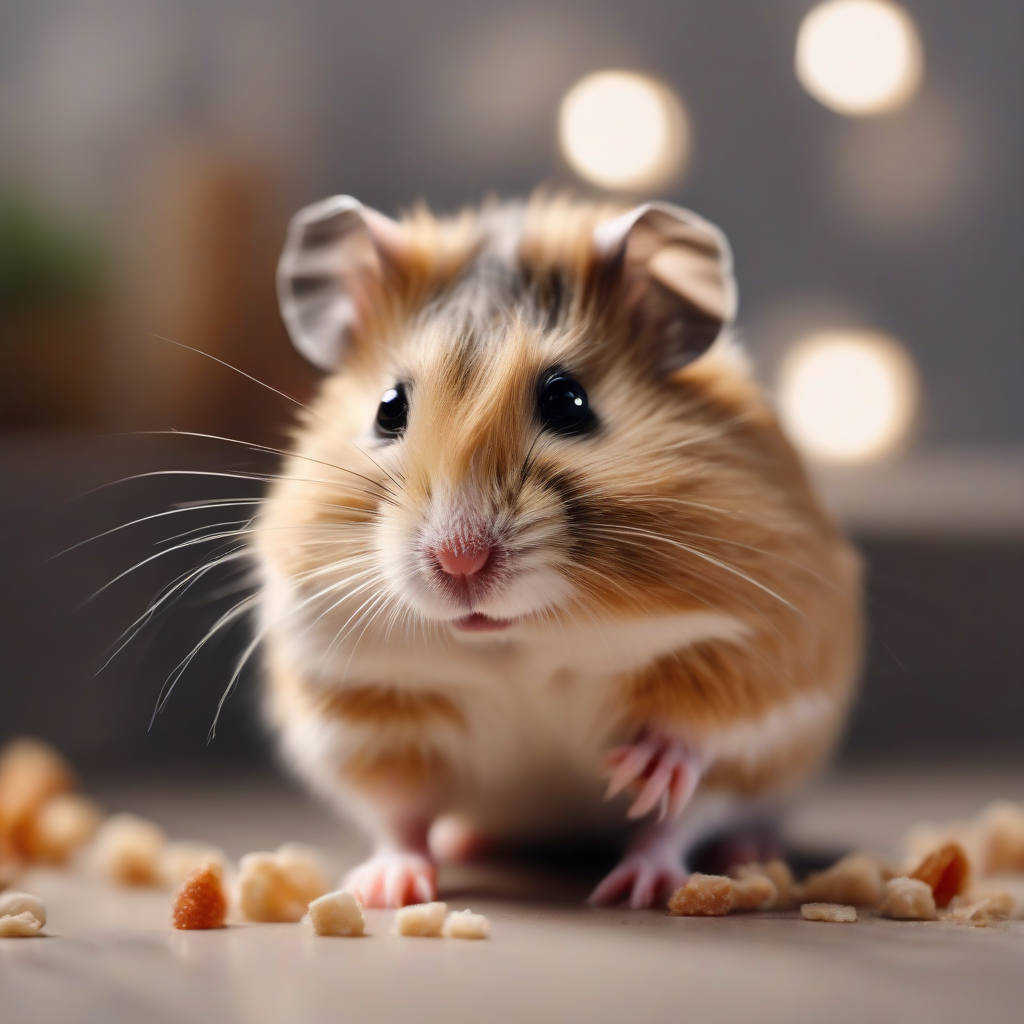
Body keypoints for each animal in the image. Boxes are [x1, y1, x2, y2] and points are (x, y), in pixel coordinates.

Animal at [255, 193, 862, 909]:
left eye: (569, 400)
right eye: (388, 407)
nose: (460, 562)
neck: (520, 640)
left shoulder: (755, 655)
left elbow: (692, 756)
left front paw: (636, 777)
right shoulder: (363, 703)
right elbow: (399, 811)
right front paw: (388, 890)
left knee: (694, 822)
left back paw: (669, 877)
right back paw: (462, 843)